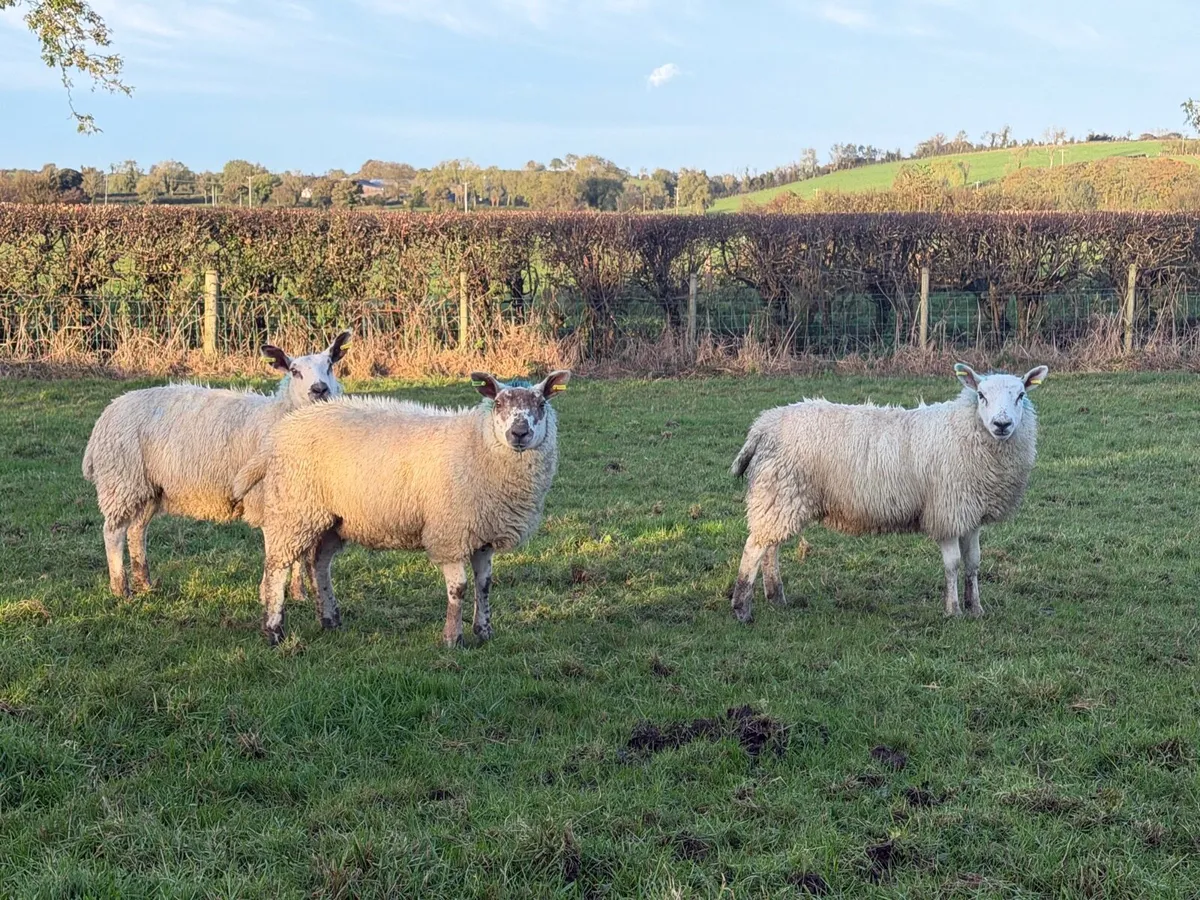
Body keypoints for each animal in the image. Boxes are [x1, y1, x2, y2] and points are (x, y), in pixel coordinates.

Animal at [82, 331, 352, 599]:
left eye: (330, 364)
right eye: (294, 371)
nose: (319, 389)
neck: (276, 417)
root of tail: (107, 413)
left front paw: (298, 594)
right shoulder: (265, 499)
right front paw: (269, 593)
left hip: (149, 488)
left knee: (137, 530)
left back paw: (144, 582)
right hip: (121, 481)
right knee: (113, 532)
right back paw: (120, 589)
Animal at [231, 370, 571, 646]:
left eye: (541, 404)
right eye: (499, 403)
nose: (519, 433)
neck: (477, 444)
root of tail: (279, 435)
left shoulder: (482, 533)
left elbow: (484, 585)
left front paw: (484, 632)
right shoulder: (450, 533)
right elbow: (459, 588)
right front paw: (452, 638)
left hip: (332, 518)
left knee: (319, 564)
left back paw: (330, 620)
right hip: (294, 509)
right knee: (277, 569)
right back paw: (274, 631)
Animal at [728, 363, 1048, 623]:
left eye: (1021, 395)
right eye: (981, 395)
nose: (1002, 424)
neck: (966, 430)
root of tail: (763, 424)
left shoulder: (970, 513)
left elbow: (973, 563)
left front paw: (976, 608)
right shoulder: (946, 511)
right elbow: (953, 565)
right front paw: (954, 610)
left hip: (780, 498)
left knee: (770, 548)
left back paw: (776, 598)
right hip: (779, 492)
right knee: (754, 548)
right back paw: (742, 609)